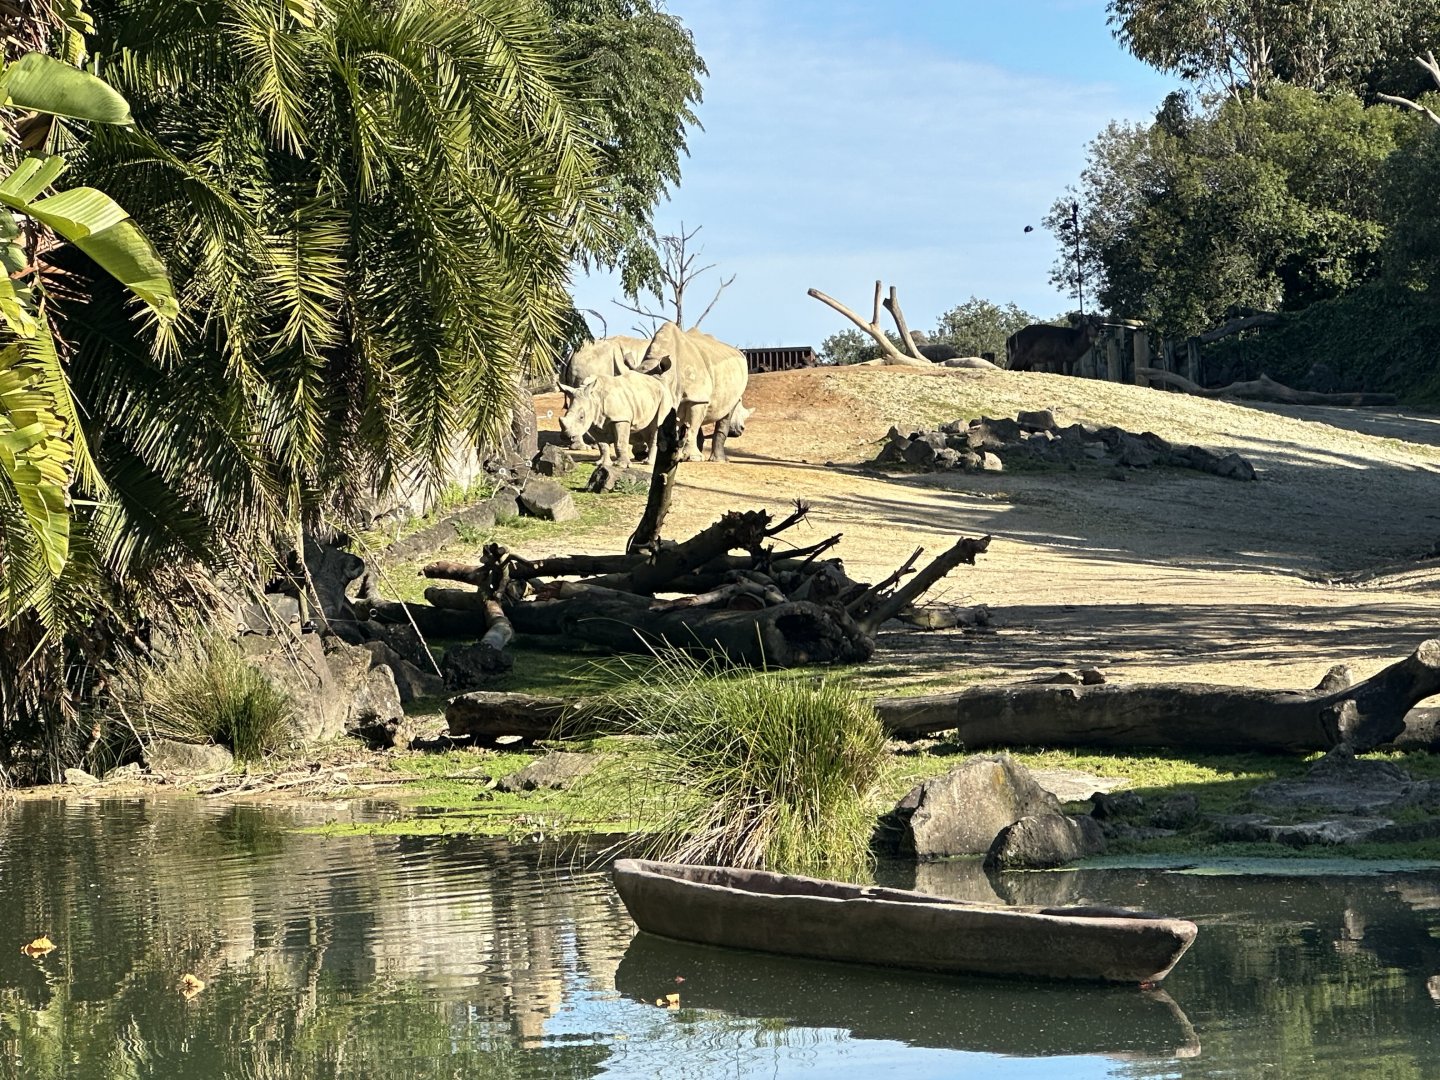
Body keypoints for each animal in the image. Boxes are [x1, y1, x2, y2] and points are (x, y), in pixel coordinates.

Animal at [627, 321, 750, 462]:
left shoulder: (697, 398)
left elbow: (692, 426)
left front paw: (693, 458)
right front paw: (673, 456)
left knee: (727, 410)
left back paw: (718, 460)